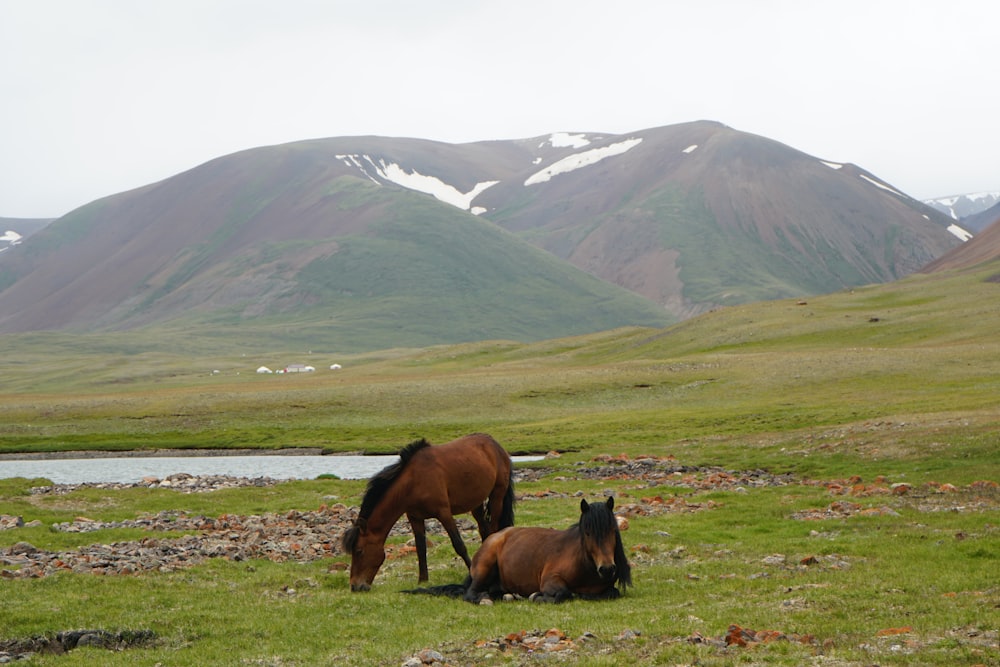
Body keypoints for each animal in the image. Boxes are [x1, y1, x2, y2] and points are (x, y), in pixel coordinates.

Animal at [344, 436, 516, 592]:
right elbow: (421, 548)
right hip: (476, 504)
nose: (355, 586)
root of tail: (495, 444)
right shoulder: (415, 518)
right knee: (484, 530)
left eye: (359, 551)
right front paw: (422, 580)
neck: (414, 482)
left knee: (493, 529)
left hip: (497, 495)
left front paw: (471, 574)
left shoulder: (444, 513)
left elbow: (459, 545)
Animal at [462, 496, 632, 604]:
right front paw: (536, 596)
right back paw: (484, 598)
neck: (584, 565)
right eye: (588, 532)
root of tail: (497, 535)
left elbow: (612, 592)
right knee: (470, 592)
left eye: (612, 530)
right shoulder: (550, 579)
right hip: (484, 566)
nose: (607, 569)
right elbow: (563, 593)